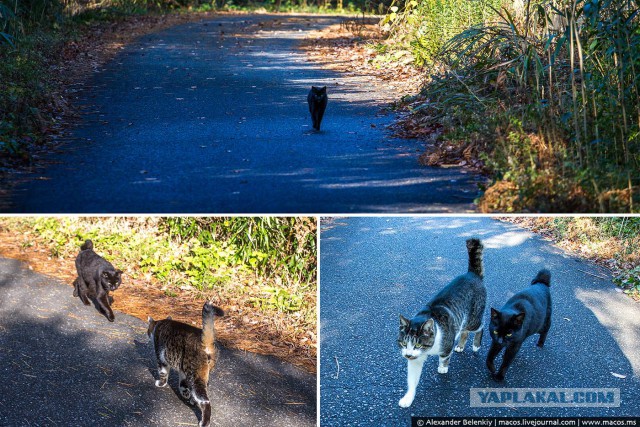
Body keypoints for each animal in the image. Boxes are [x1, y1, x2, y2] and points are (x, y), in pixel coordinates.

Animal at [396, 239, 484, 410]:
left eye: (418, 344)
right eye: (403, 343)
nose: (407, 355)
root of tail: (472, 274)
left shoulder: (446, 343)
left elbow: (444, 357)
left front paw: (443, 367)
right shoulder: (415, 360)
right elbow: (412, 380)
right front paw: (408, 397)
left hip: (473, 319)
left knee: (480, 327)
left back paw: (476, 344)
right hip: (464, 319)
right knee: (464, 331)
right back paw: (461, 345)